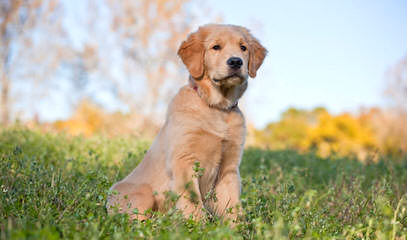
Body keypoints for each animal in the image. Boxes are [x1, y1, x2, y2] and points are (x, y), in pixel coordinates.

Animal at [108, 23, 268, 222]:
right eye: (216, 47)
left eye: (243, 48)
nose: (236, 62)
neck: (217, 108)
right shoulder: (184, 160)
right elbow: (192, 202)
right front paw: (197, 226)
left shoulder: (229, 168)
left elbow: (232, 205)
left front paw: (238, 227)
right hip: (142, 194)